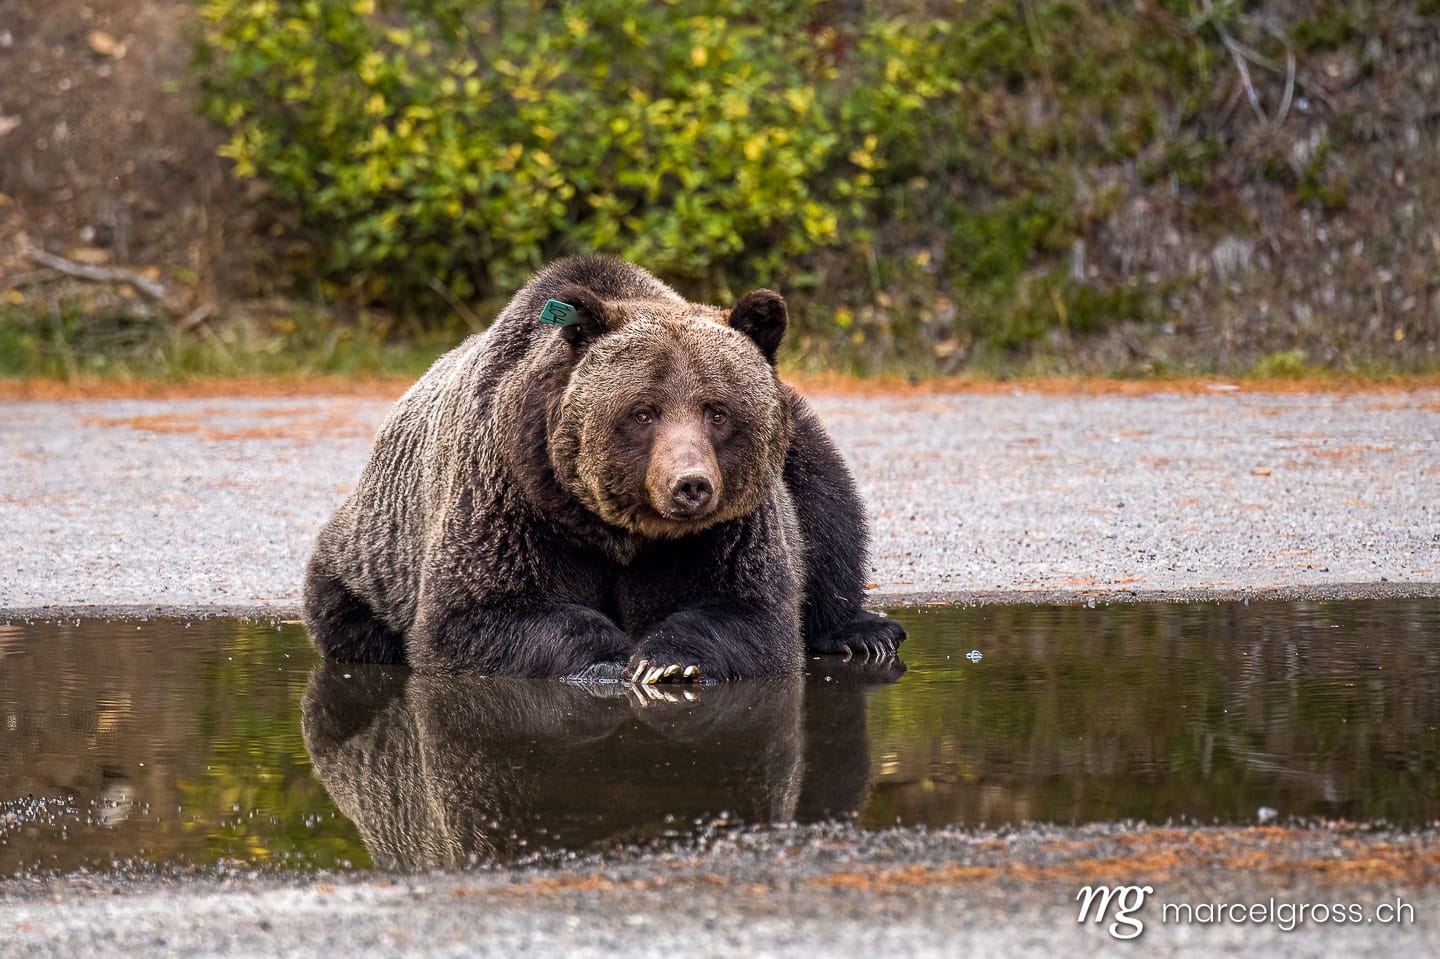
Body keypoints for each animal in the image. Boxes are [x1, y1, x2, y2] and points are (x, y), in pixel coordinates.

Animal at [302, 255, 904, 683]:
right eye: (643, 411)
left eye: (717, 410)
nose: (691, 485)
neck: (616, 528)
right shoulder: (512, 498)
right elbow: (479, 614)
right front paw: (611, 661)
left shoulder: (730, 527)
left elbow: (748, 610)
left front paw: (664, 659)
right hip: (368, 556)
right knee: (347, 615)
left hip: (796, 437)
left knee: (828, 506)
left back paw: (863, 630)